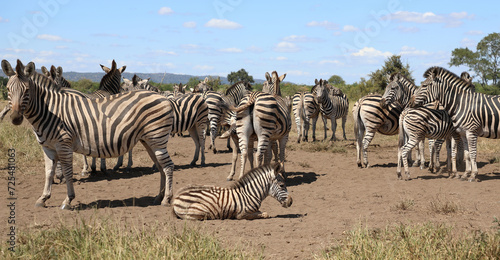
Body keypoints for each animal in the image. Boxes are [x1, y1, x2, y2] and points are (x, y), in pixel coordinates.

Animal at [2, 59, 176, 209]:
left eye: (26, 90)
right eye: (8, 90)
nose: (15, 118)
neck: (49, 111)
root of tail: (163, 97)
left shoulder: (64, 145)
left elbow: (68, 171)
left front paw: (68, 200)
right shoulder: (47, 147)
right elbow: (48, 173)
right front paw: (43, 198)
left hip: (157, 139)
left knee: (168, 166)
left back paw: (166, 199)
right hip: (149, 141)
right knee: (161, 166)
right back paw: (158, 197)